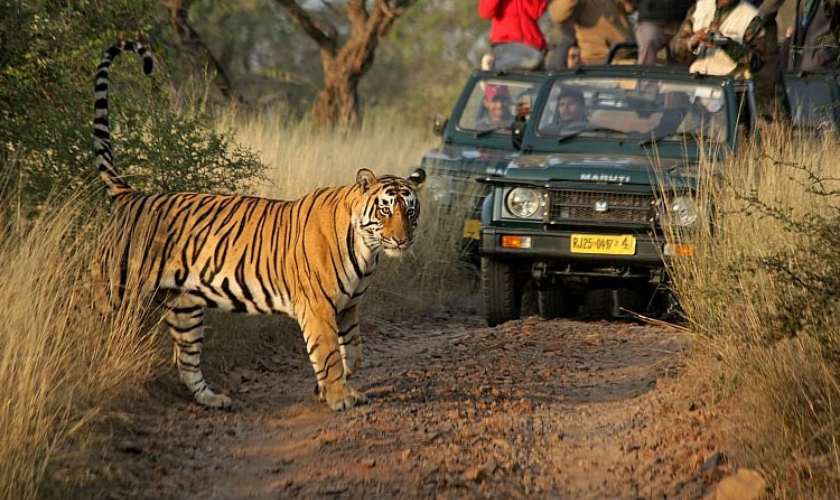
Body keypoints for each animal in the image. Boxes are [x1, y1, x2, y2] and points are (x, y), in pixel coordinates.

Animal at [91, 41, 425, 411]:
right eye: (385, 210)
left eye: (410, 212)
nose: (402, 240)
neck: (368, 250)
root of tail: (129, 194)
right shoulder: (318, 307)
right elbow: (329, 355)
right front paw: (338, 397)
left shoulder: (348, 307)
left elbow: (353, 355)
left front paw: (327, 389)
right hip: (114, 289)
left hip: (185, 306)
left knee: (186, 360)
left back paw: (214, 399)